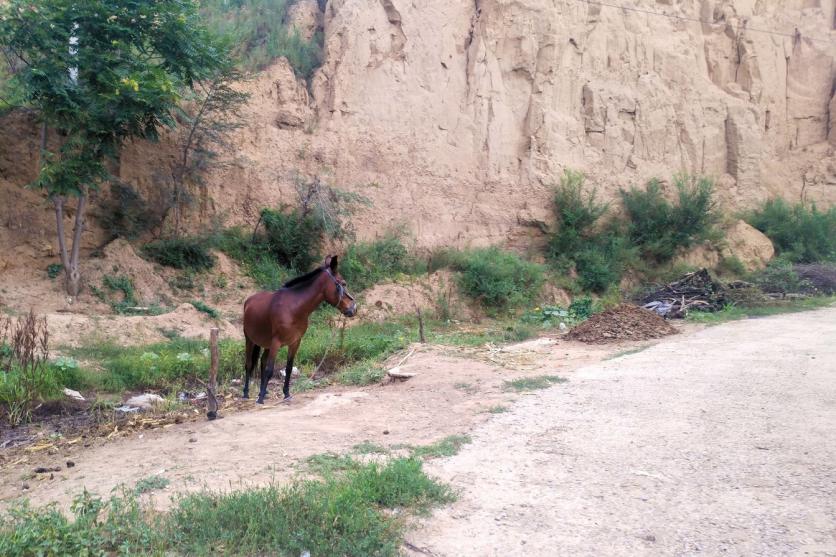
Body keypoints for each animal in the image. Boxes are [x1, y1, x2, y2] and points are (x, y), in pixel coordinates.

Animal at [243, 254, 358, 402]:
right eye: (343, 284)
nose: (354, 308)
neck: (293, 308)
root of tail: (249, 301)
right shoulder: (276, 342)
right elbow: (270, 369)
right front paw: (261, 399)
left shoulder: (295, 342)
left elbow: (289, 368)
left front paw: (286, 394)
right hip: (250, 340)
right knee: (249, 364)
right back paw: (247, 393)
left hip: (266, 343)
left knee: (262, 362)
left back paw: (264, 391)